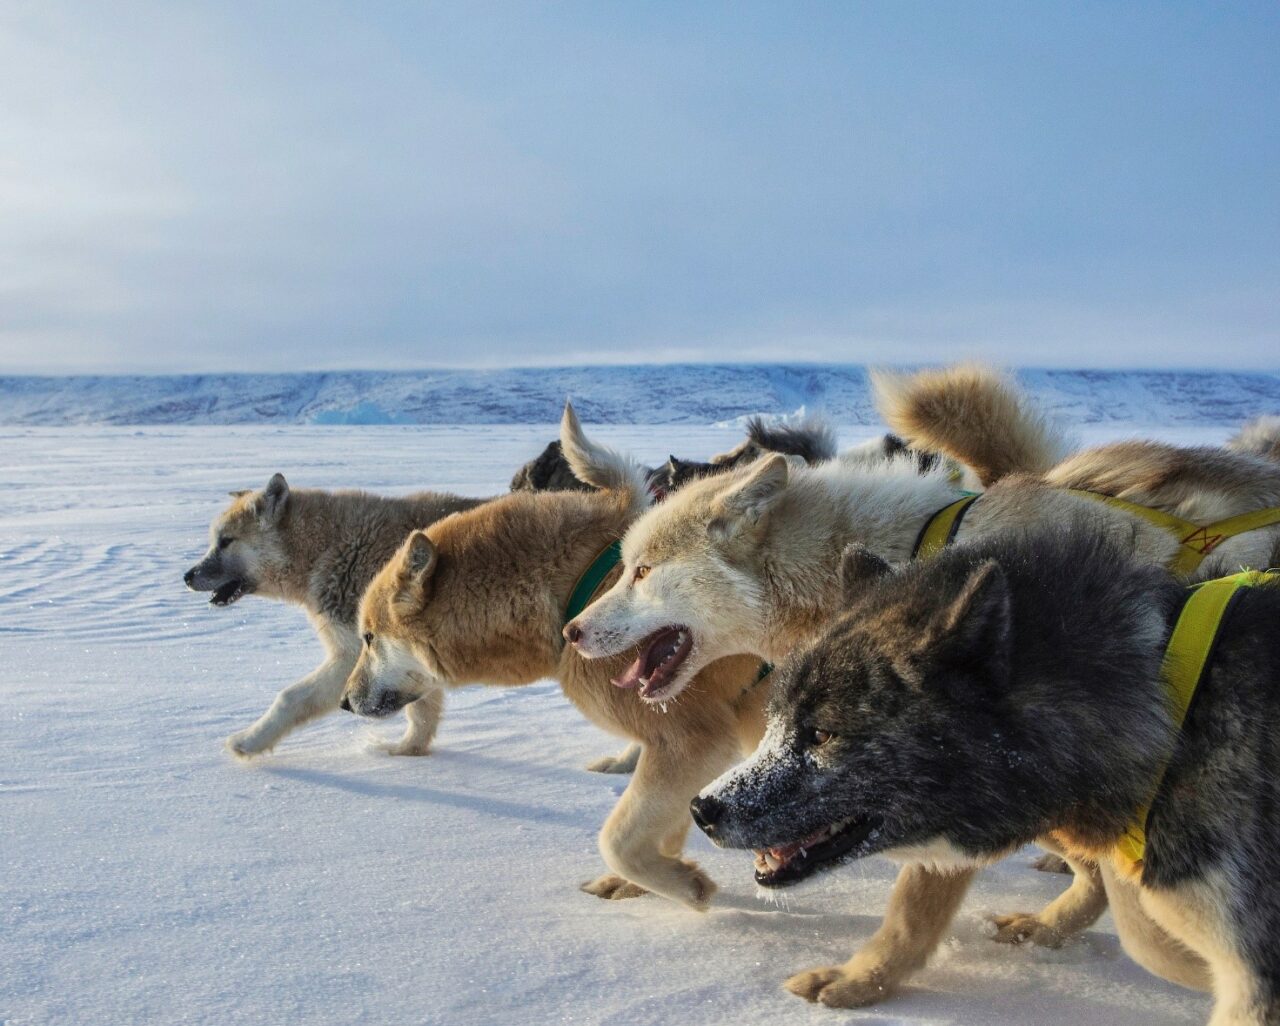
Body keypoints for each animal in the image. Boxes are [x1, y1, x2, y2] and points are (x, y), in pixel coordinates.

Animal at [340, 406, 768, 905]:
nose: (344, 701)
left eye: (369, 637)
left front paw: (685, 887)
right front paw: (640, 885)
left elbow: (616, 841)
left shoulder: (693, 741)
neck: (577, 589)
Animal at [701, 524, 1280, 1018]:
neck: (1170, 710)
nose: (701, 809)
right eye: (775, 721)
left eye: (821, 734)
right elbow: (911, 912)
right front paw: (861, 979)